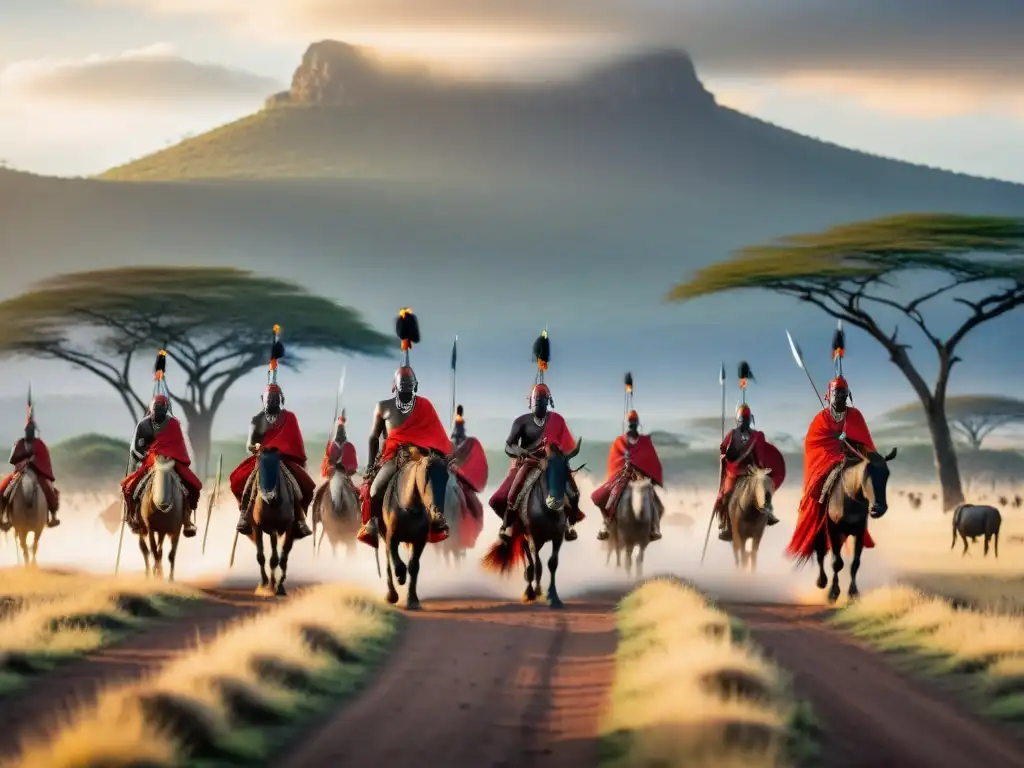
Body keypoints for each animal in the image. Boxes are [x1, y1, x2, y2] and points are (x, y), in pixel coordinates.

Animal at [246, 454, 299, 598]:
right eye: (260, 468)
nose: (270, 497)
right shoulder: (258, 527)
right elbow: (261, 557)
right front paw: (264, 583)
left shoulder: (286, 529)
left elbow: (279, 558)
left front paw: (277, 586)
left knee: (283, 557)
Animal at [378, 448, 454, 610]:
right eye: (426, 473)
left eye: (446, 476)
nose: (437, 513)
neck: (410, 507)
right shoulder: (391, 537)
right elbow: (396, 561)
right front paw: (400, 577)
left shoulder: (419, 541)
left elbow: (413, 566)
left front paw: (412, 600)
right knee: (388, 559)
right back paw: (392, 595)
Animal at [481, 442, 581, 610]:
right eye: (545, 471)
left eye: (566, 471)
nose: (555, 502)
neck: (547, 510)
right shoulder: (532, 537)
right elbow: (538, 565)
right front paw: (538, 591)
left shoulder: (558, 537)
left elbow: (552, 563)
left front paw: (554, 597)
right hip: (523, 537)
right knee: (530, 564)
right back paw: (529, 592)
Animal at [811, 448, 901, 606]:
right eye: (866, 474)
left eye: (886, 473)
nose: (878, 509)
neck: (850, 498)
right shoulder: (834, 531)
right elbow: (837, 563)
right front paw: (833, 593)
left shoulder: (859, 533)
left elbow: (855, 563)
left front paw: (853, 593)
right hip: (823, 531)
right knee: (820, 552)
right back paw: (821, 582)